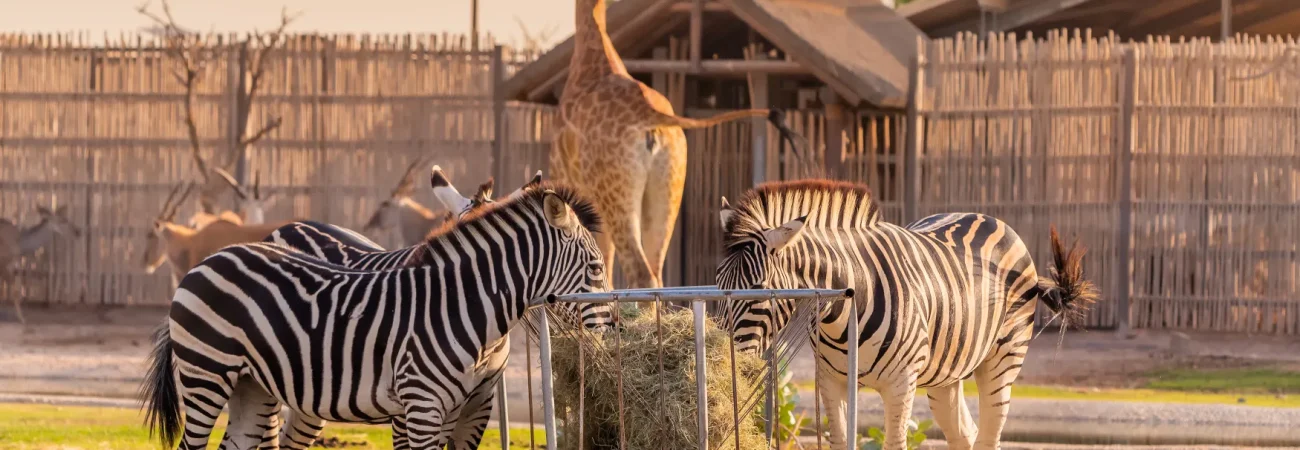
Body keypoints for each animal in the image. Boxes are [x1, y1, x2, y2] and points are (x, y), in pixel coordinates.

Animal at [553, 0, 795, 290]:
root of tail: (652, 116)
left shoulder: (566, 175)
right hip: (669, 187)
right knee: (655, 271)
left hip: (615, 192)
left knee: (640, 270)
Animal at [712, 180, 1097, 450]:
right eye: (717, 283)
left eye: (758, 288)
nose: (722, 362)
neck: (843, 312)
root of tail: (987, 217)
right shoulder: (830, 381)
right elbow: (840, 440)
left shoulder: (901, 384)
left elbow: (894, 442)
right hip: (946, 374)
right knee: (965, 434)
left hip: (1003, 358)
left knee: (989, 435)